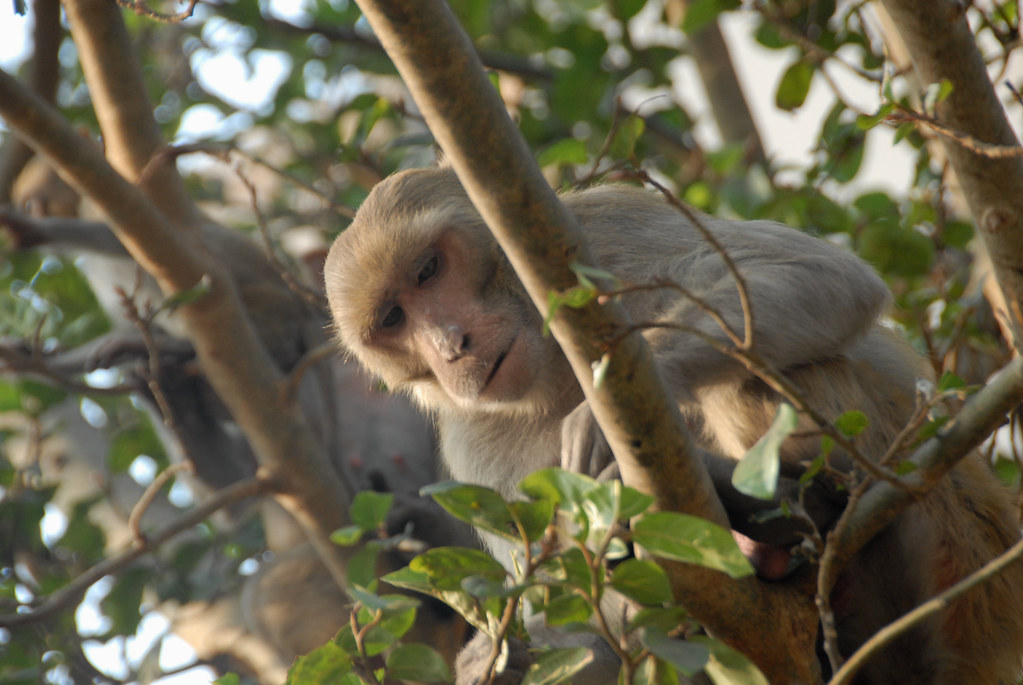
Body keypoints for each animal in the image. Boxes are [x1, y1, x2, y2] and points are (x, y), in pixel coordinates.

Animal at [323, 166, 1023, 685]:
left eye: (428, 270)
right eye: (392, 318)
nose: (450, 346)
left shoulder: (594, 234)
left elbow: (820, 275)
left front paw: (607, 409)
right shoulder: (475, 441)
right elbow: (593, 619)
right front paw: (494, 662)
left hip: (957, 543)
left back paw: (796, 504)